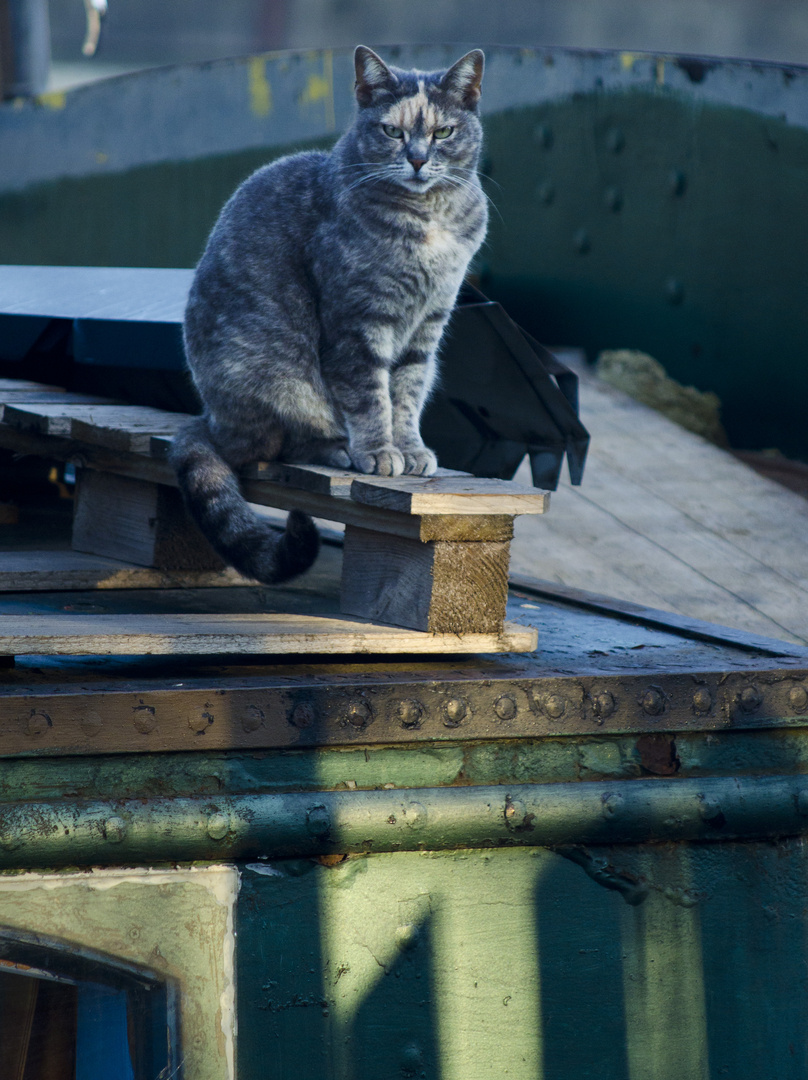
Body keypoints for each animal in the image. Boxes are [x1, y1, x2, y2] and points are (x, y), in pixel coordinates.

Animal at [170, 44, 486, 583]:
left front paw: (410, 448)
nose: (418, 159)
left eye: (443, 132)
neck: (429, 221)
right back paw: (339, 448)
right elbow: (371, 396)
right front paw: (380, 452)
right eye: (391, 132)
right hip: (277, 377)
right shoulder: (358, 321)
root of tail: (208, 419)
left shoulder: (427, 326)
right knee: (268, 448)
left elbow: (407, 395)